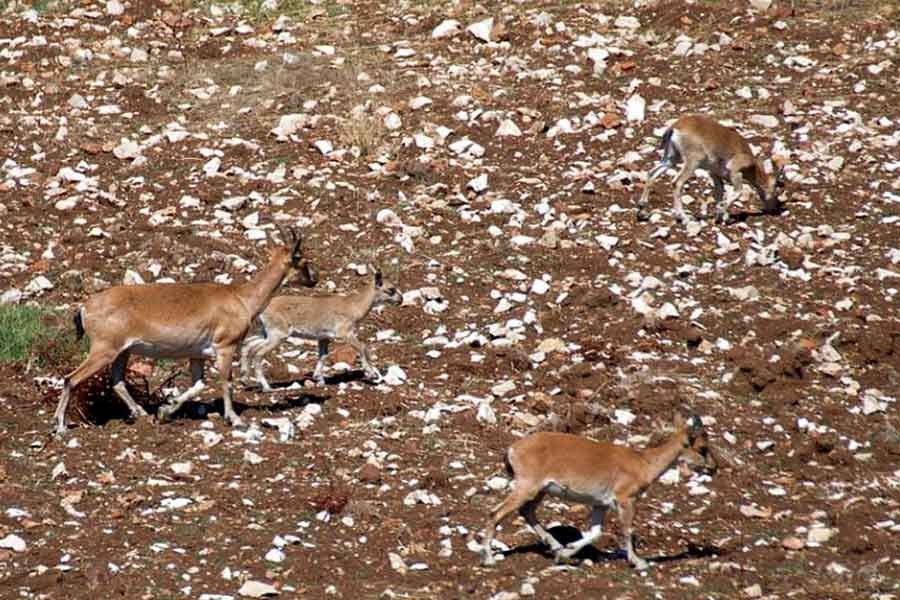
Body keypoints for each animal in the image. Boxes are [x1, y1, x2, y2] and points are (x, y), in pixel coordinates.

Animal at [52, 227, 318, 438]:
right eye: (302, 259)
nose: (314, 280)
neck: (241, 298)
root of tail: (85, 307)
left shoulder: (197, 355)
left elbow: (198, 385)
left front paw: (164, 411)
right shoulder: (225, 347)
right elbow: (226, 383)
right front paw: (235, 419)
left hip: (122, 353)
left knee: (116, 381)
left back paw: (141, 413)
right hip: (104, 350)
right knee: (71, 379)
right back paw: (60, 427)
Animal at [243, 268, 404, 390]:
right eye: (391, 289)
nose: (401, 300)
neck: (354, 306)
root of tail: (262, 309)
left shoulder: (324, 338)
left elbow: (323, 356)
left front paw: (319, 379)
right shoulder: (345, 333)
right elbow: (363, 347)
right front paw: (371, 373)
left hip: (266, 333)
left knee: (248, 346)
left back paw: (245, 379)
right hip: (277, 335)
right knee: (257, 353)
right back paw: (266, 387)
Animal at [482, 414, 720, 568]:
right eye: (702, 448)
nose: (715, 467)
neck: (643, 464)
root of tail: (512, 449)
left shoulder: (600, 504)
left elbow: (595, 532)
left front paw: (566, 553)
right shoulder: (626, 499)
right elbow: (627, 530)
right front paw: (639, 562)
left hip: (539, 491)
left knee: (526, 512)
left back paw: (557, 547)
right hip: (527, 486)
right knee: (496, 512)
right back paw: (489, 559)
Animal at [636, 113, 784, 224]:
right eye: (775, 187)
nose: (773, 209)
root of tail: (675, 128)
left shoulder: (714, 174)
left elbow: (719, 192)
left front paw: (721, 217)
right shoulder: (735, 172)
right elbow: (738, 192)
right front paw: (722, 213)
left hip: (671, 159)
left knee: (652, 173)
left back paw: (642, 209)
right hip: (692, 161)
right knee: (677, 182)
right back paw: (683, 217)